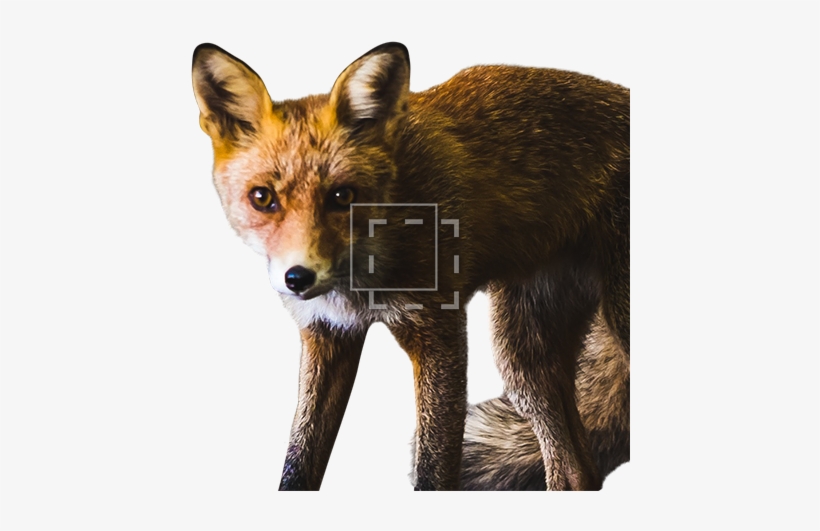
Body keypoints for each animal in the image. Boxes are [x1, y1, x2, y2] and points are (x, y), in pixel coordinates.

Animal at [191, 42, 629, 491]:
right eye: (262, 198)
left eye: (342, 196)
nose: (298, 278)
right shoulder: (326, 335)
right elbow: (298, 463)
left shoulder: (439, 335)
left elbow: (433, 470)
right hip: (524, 356)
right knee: (577, 472)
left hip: (613, 318)